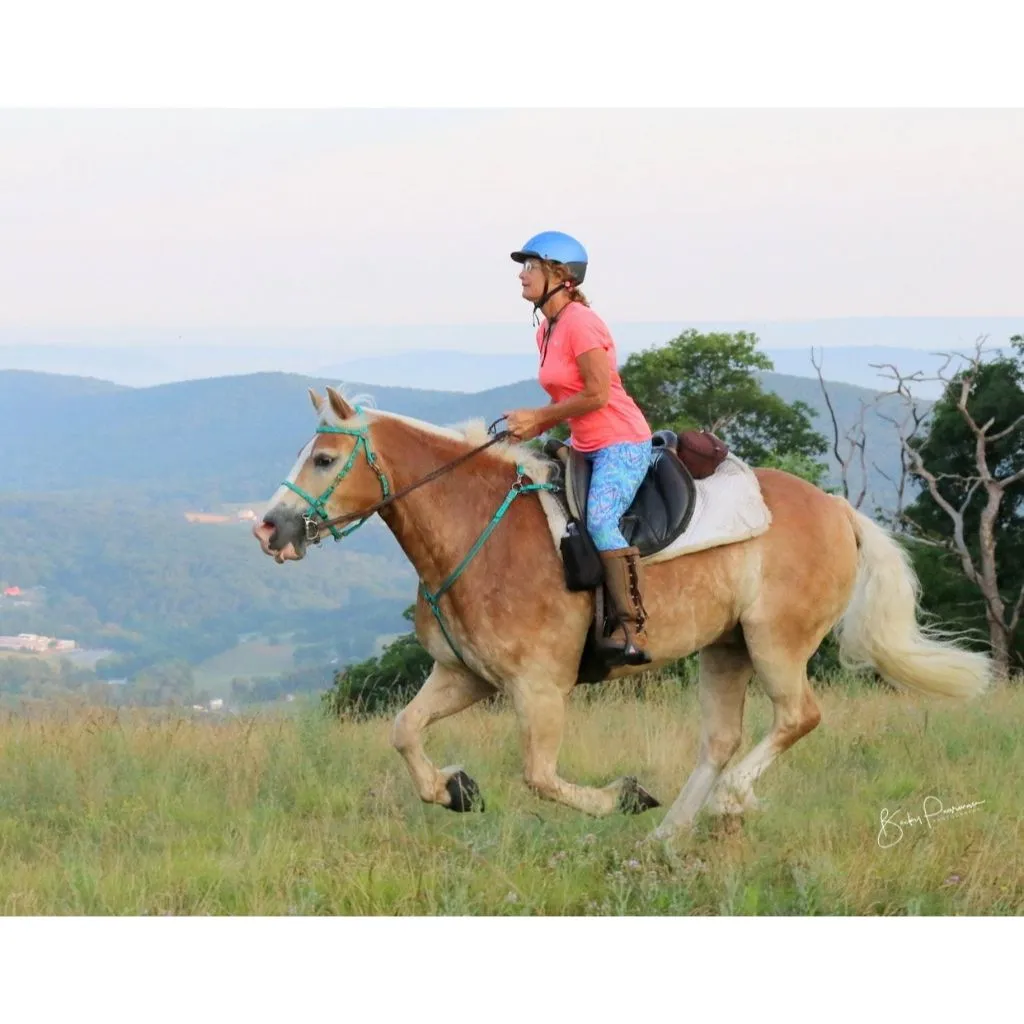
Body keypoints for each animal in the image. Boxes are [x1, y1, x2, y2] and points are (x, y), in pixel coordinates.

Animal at [249, 385, 991, 839]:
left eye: (324, 459)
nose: (269, 528)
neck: (477, 531)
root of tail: (838, 510)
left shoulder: (539, 689)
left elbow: (540, 776)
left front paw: (622, 796)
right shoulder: (465, 677)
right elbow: (404, 731)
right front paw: (457, 789)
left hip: (776, 641)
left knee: (797, 717)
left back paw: (725, 802)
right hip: (726, 648)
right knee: (720, 741)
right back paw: (666, 836)